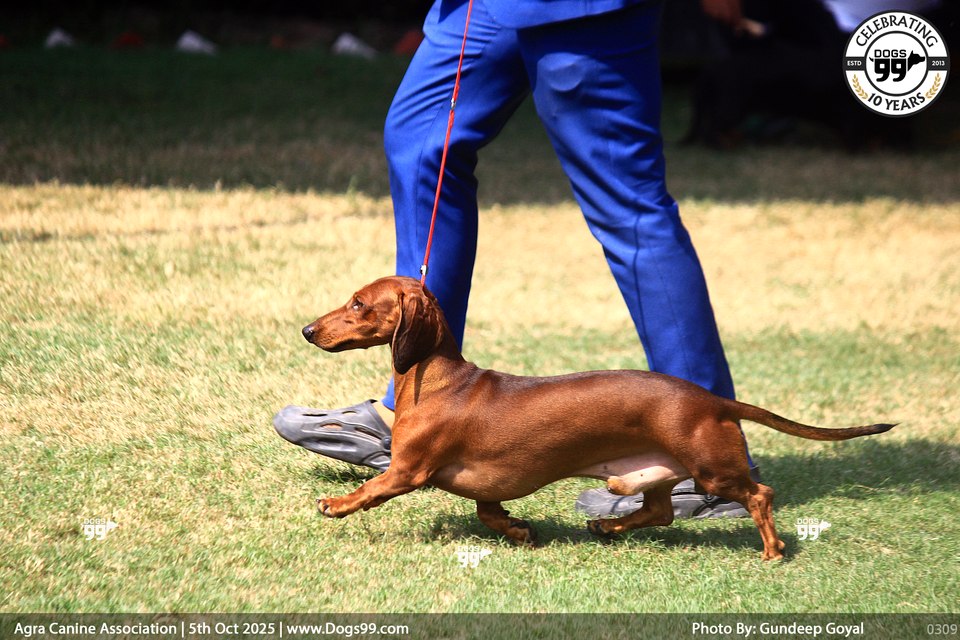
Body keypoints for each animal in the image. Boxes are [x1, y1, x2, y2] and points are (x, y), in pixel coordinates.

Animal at [300, 276, 894, 560]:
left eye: (358, 303)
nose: (307, 329)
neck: (440, 379)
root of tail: (713, 401)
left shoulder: (408, 470)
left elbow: (372, 489)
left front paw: (337, 503)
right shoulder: (485, 487)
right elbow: (490, 514)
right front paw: (520, 531)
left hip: (712, 469)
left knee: (759, 495)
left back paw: (772, 552)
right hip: (652, 474)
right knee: (659, 512)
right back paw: (606, 525)